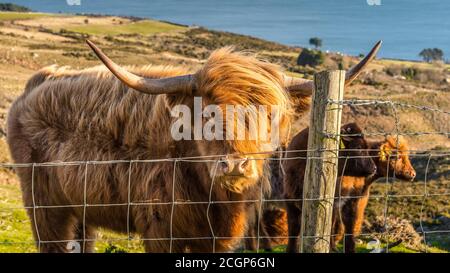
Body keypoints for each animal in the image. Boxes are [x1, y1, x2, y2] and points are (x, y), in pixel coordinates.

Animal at [7, 39, 380, 252]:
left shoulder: (216, 238)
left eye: (270, 115)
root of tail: (37, 83)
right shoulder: (159, 231)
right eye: (206, 113)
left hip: (81, 209)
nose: (235, 165)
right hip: (44, 207)